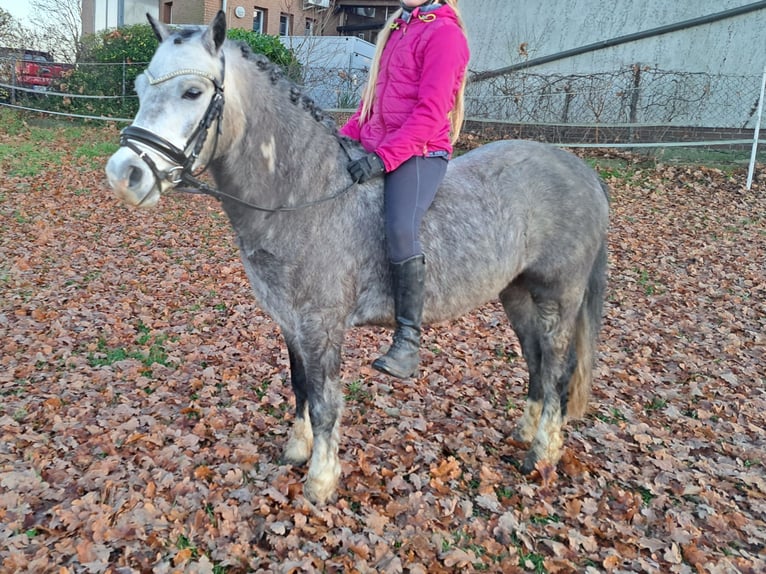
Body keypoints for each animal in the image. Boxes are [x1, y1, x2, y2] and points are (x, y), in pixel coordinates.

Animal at [105, 12, 609, 505]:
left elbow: (326, 401)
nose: (123, 175)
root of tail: (583, 172)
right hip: (517, 293)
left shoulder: (322, 325)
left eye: (192, 92)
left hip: (558, 298)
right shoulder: (291, 323)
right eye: (140, 89)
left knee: (557, 367)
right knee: (536, 362)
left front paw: (320, 481)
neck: (307, 196)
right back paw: (525, 434)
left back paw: (542, 455)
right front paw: (297, 450)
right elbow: (301, 387)